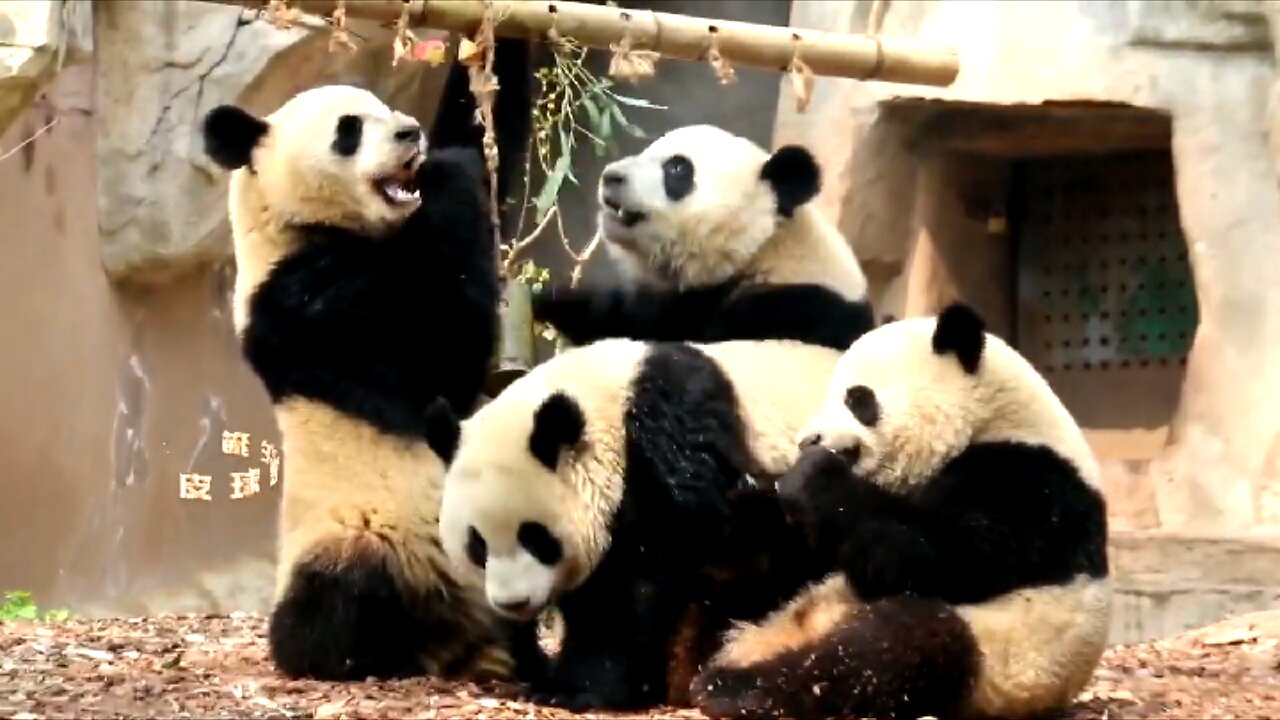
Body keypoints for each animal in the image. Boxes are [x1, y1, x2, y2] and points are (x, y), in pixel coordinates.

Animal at [435, 338, 844, 707]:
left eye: (536, 538)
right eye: (477, 546)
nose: (514, 602)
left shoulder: (669, 442)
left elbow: (640, 578)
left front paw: (573, 688)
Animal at [691, 301, 1111, 717]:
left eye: (857, 399)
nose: (808, 440)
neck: (994, 417)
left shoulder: (1025, 483)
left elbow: (936, 557)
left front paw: (813, 476)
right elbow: (810, 553)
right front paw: (748, 505)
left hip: (1001, 655)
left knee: (894, 647)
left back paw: (738, 688)